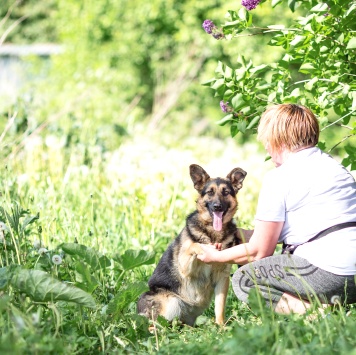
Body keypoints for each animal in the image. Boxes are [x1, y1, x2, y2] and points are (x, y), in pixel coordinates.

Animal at [137, 164, 248, 326]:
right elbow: (194, 246)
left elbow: (220, 307)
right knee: (157, 326)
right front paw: (203, 247)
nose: (217, 206)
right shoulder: (185, 267)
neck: (212, 232)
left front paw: (221, 326)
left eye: (226, 192)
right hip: (172, 301)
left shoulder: (223, 278)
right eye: (210, 192)